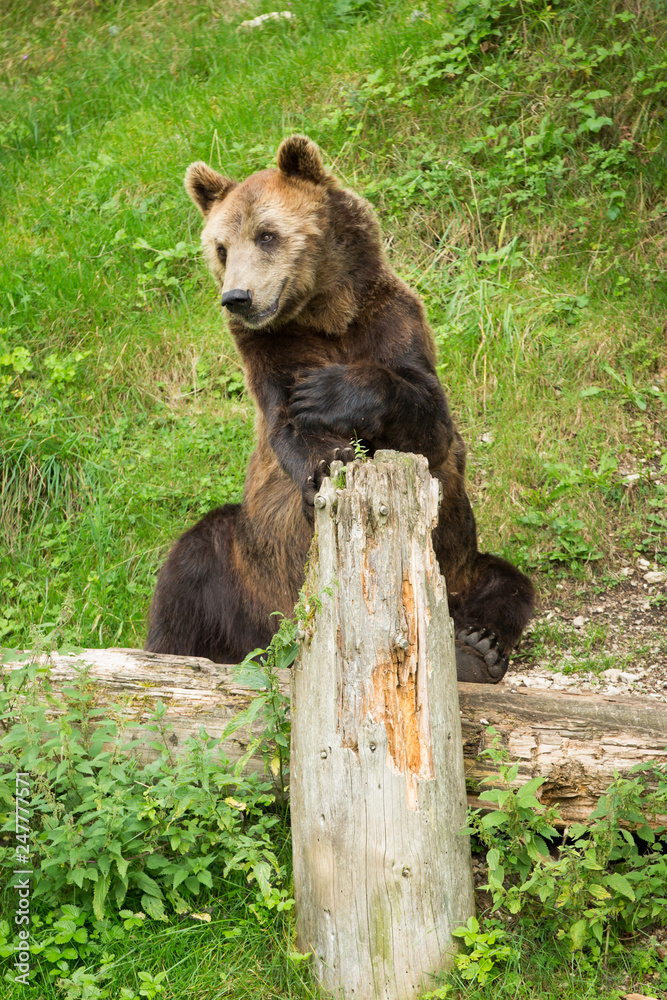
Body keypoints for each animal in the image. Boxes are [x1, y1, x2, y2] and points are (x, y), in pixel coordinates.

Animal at [145, 135, 534, 683]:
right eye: (221, 248)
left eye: (266, 235)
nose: (237, 297)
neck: (325, 314)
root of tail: (272, 637)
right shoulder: (270, 351)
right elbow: (292, 426)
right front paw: (329, 464)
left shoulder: (391, 319)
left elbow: (431, 419)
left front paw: (329, 391)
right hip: (252, 561)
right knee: (192, 564)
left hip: (459, 565)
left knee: (509, 582)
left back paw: (477, 648)